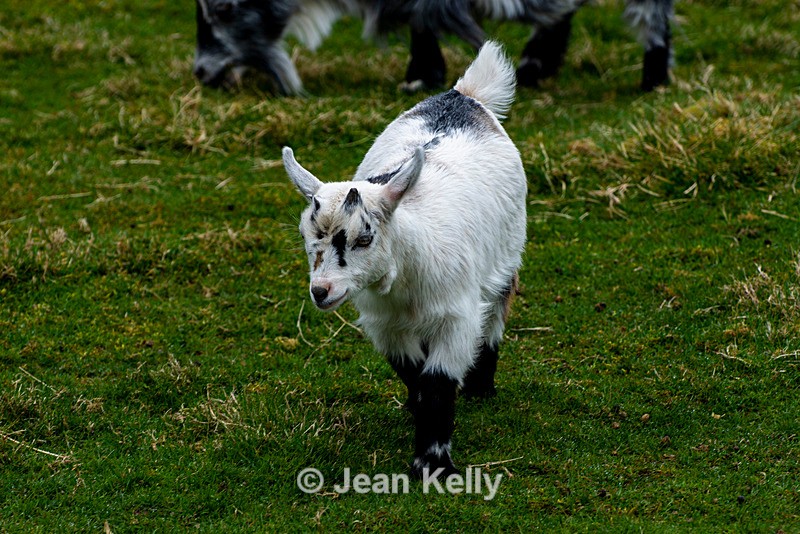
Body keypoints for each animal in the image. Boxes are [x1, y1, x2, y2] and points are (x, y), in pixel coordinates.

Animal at [283, 41, 527, 476]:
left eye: (365, 238)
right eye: (308, 239)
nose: (321, 291)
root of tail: (464, 95)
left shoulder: (456, 317)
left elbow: (438, 381)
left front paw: (434, 466)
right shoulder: (385, 324)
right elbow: (414, 373)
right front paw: (416, 413)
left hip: (508, 254)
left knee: (496, 312)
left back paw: (481, 388)